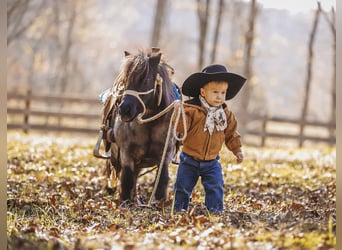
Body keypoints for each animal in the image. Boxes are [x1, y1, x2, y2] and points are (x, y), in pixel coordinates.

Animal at [93, 47, 179, 204]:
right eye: (125, 80)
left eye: (145, 80)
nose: (124, 109)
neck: (151, 124)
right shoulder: (127, 153)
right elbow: (126, 179)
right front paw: (125, 202)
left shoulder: (165, 154)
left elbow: (162, 179)